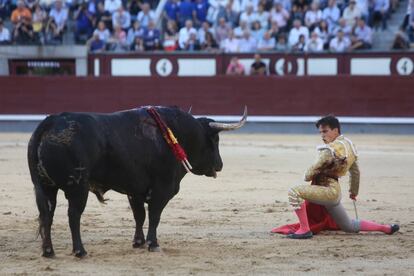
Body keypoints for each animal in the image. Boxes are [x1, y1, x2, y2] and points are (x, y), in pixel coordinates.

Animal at [28, 106, 246, 258]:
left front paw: (138, 242)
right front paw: (153, 244)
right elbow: (155, 216)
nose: (220, 165)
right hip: (77, 188)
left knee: (47, 215)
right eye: (215, 140)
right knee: (73, 215)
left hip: (47, 187)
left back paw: (48, 252)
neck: (176, 133)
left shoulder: (135, 190)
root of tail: (51, 121)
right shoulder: (162, 188)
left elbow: (139, 215)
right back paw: (80, 251)